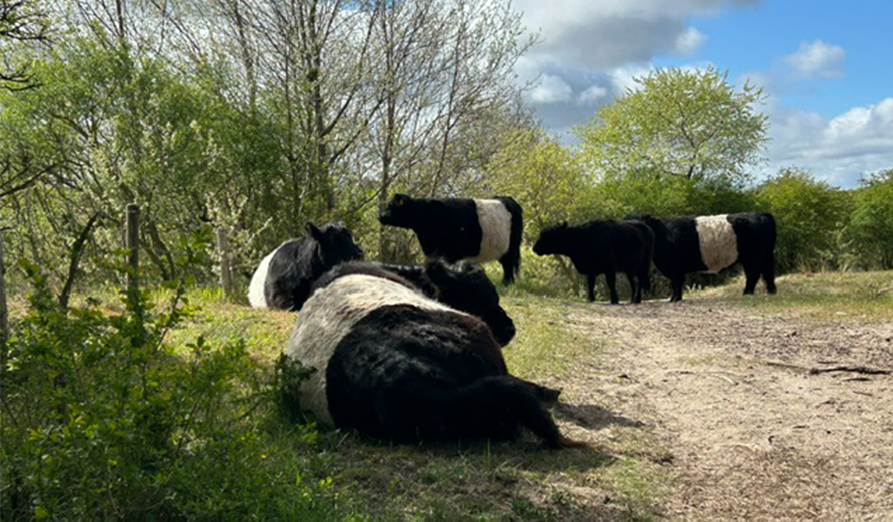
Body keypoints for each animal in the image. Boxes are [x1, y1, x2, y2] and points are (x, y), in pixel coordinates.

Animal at [378, 194, 523, 285]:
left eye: (391, 206)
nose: (380, 216)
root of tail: (509, 199)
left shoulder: (451, 253)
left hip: (511, 247)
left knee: (508, 265)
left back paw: (507, 283)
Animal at [627, 212, 777, 302]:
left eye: (640, 224)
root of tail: (761, 214)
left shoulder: (675, 268)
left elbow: (676, 282)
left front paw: (675, 299)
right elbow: (675, 283)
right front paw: (674, 298)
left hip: (754, 257)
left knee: (753, 274)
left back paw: (747, 293)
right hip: (764, 256)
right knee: (767, 273)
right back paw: (771, 291)